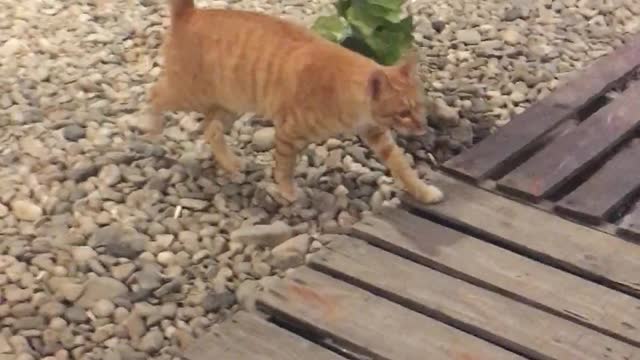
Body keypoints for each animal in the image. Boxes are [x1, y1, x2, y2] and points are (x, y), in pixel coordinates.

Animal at [148, 0, 442, 204]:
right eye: (403, 112)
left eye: (420, 106)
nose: (422, 126)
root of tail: (190, 13)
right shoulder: (288, 132)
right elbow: (285, 165)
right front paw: (288, 191)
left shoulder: (377, 134)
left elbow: (402, 166)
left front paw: (423, 191)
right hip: (188, 92)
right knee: (154, 95)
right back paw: (152, 132)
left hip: (231, 104)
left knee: (210, 128)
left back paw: (230, 164)